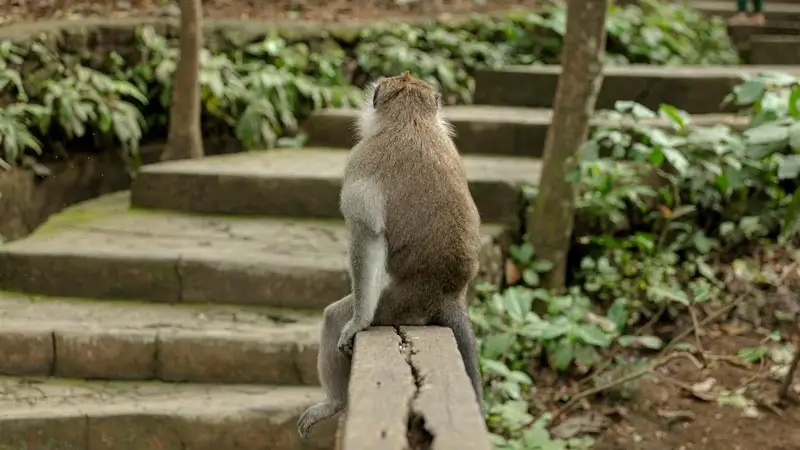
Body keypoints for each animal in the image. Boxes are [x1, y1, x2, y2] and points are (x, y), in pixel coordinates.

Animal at [296, 72, 486, 440]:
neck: (411, 120)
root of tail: (449, 294)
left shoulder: (359, 160)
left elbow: (366, 233)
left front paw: (357, 322)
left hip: (400, 304)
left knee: (334, 316)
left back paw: (335, 402)